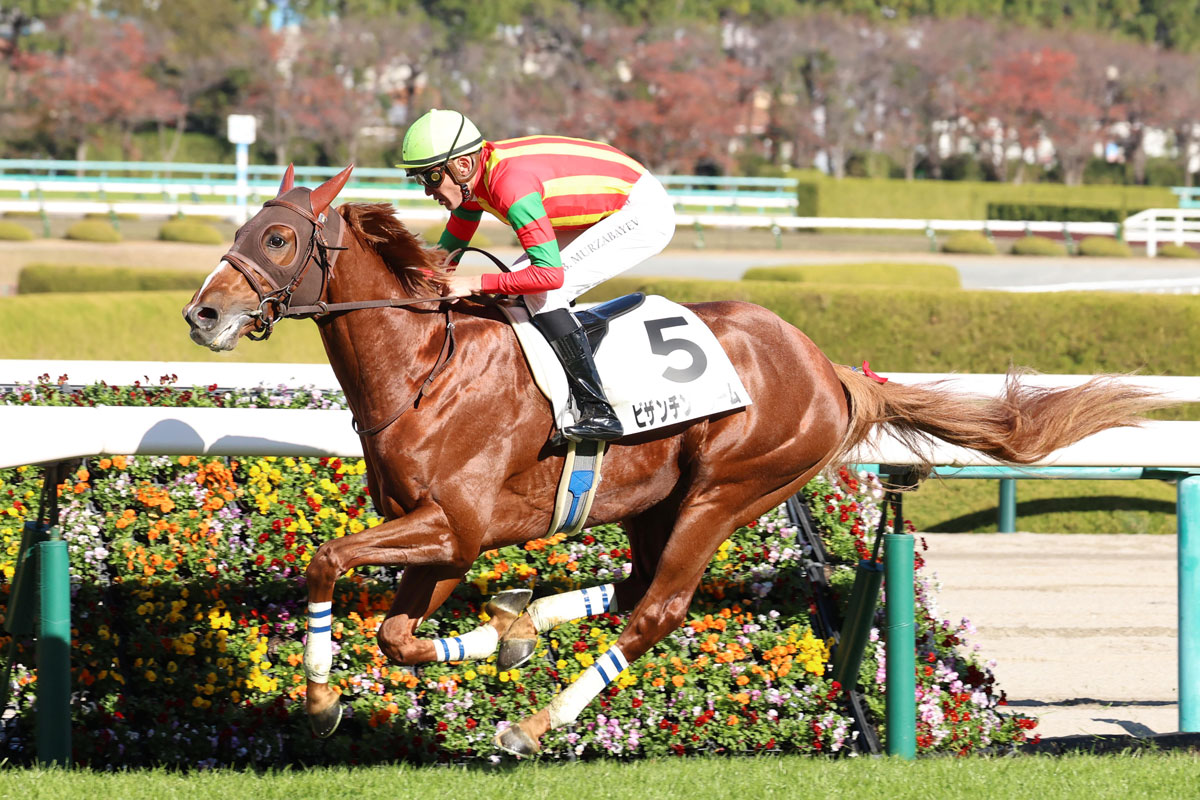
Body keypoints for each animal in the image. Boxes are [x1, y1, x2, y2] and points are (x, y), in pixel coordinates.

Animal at [182, 166, 1164, 756]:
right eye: (245, 227)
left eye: (278, 239)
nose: (203, 313)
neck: (428, 370)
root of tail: (831, 370)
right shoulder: (444, 541)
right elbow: (396, 635)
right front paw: (492, 637)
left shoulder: (452, 525)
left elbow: (325, 560)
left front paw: (318, 702)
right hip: (661, 500)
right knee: (631, 592)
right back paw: (522, 625)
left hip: (729, 489)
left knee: (656, 611)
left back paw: (534, 722)